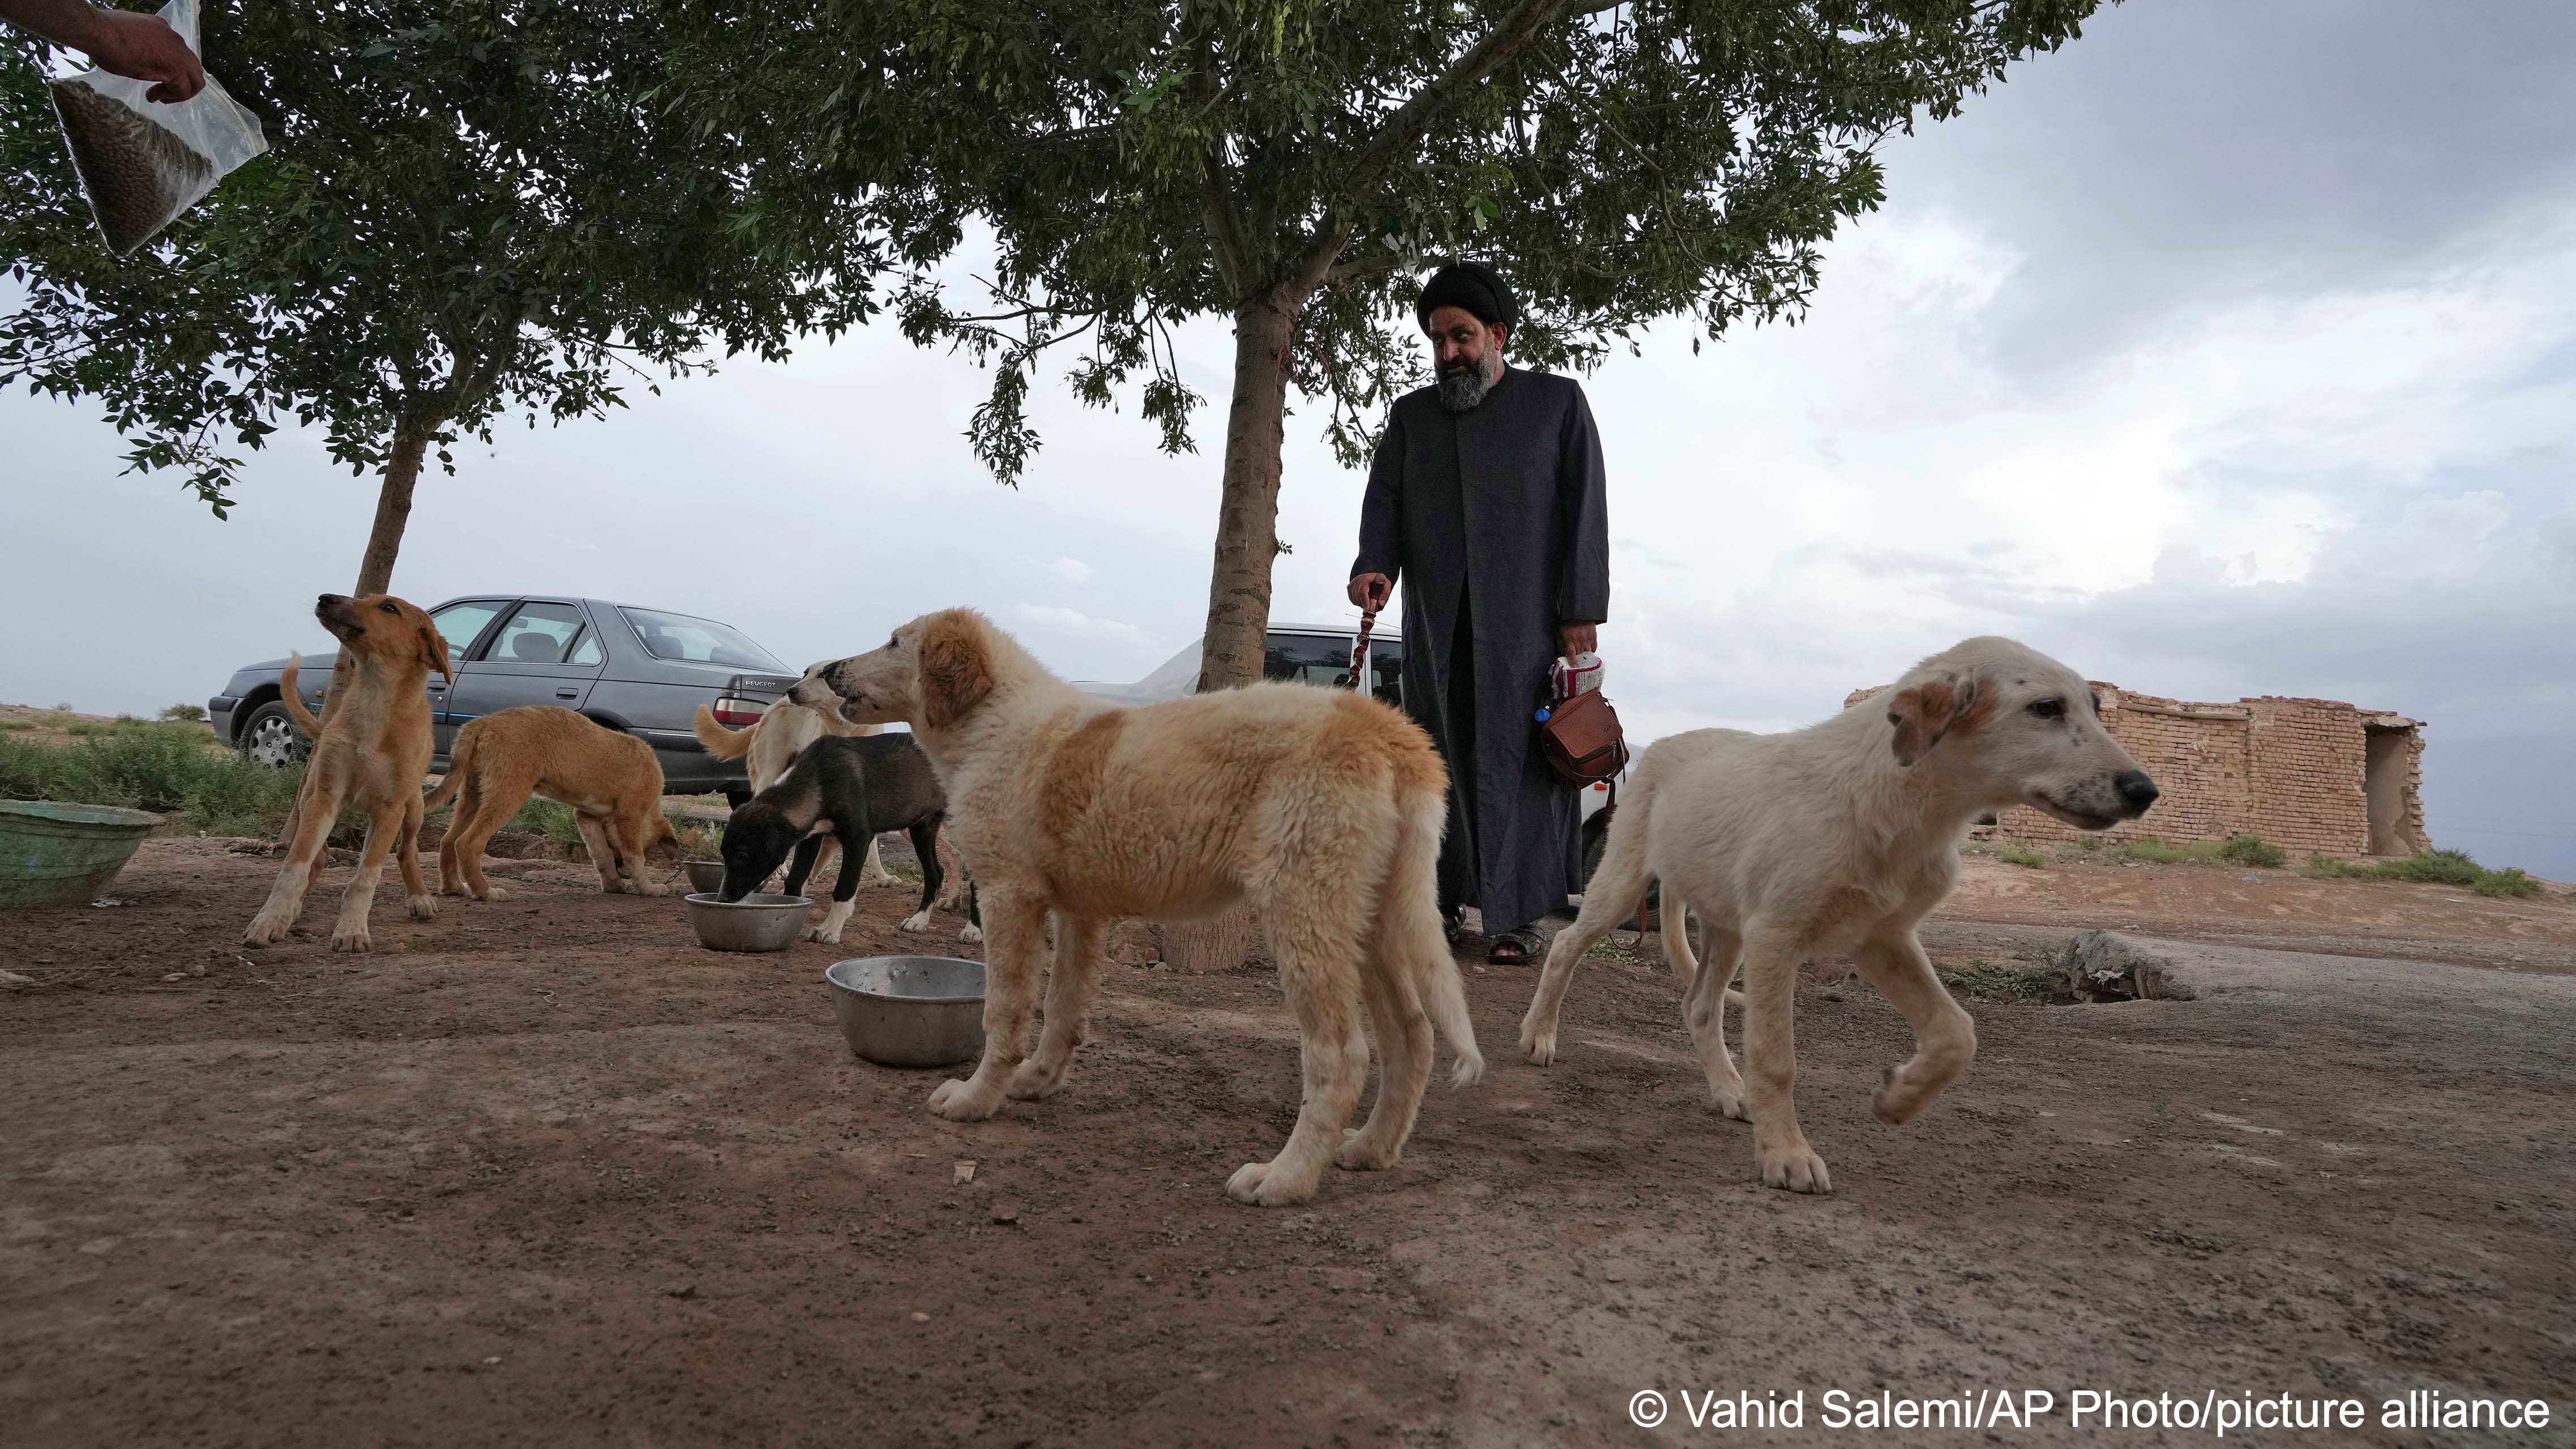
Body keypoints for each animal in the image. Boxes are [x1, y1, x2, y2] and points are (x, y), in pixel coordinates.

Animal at [243, 588, 451, 948]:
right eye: (367, 597)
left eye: (389, 608)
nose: (325, 597)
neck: (375, 699)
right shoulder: (326, 795)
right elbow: (293, 867)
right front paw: (270, 920)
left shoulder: (390, 808)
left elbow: (365, 877)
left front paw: (352, 929)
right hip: (308, 796)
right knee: (320, 856)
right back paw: (293, 910)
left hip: (413, 809)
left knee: (406, 849)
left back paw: (419, 897)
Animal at [430, 706, 685, 897]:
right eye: (649, 847)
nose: (622, 872)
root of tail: (482, 723)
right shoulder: (628, 815)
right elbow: (635, 857)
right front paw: (649, 888)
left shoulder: (587, 817)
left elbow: (600, 854)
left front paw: (614, 885)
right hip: (507, 794)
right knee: (468, 843)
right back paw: (486, 892)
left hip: (472, 795)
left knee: (448, 840)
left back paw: (454, 888)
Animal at [716, 727, 973, 943]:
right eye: (724, 856)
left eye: (742, 855)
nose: (722, 900)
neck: (820, 778)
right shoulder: (811, 839)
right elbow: (795, 880)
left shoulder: (859, 838)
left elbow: (844, 888)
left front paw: (830, 929)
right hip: (923, 828)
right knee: (935, 873)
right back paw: (920, 920)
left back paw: (972, 930)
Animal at [798, 603, 1494, 1201]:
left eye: (895, 642)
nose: (829, 670)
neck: (993, 723)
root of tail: (1390, 731)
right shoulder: (1078, 910)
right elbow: (1063, 1006)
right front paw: (1037, 1082)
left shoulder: (1006, 894)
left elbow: (1004, 1011)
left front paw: (976, 1099)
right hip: (1372, 918)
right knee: (1412, 1034)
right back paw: (1370, 1149)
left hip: (1305, 910)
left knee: (1342, 1056)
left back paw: (1286, 1178)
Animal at [1514, 636, 2164, 1191]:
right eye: (2045, 708)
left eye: (2095, 708)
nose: (2144, 791)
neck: (1906, 806)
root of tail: (1663, 743)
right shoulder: (1778, 937)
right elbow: (1776, 1059)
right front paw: (1787, 1154)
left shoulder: (1882, 937)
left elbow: (1957, 1032)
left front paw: (1899, 1099)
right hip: (1625, 884)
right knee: (1569, 945)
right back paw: (1539, 1036)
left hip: (1728, 926)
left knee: (1698, 1006)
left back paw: (1729, 1090)